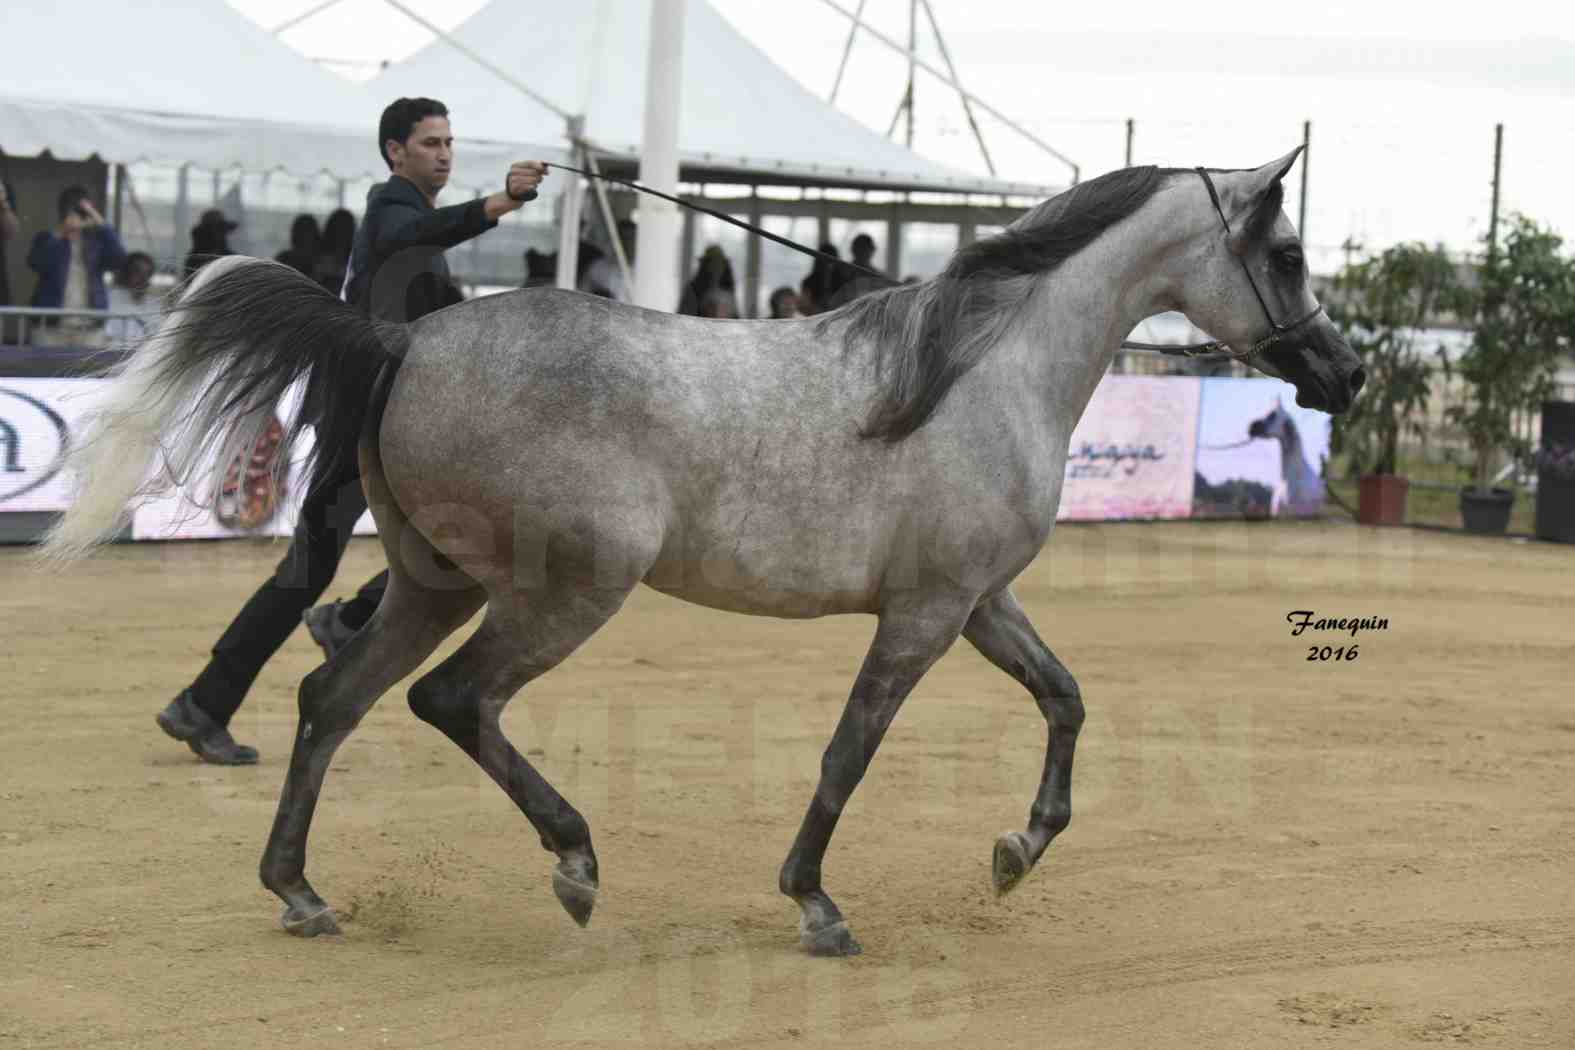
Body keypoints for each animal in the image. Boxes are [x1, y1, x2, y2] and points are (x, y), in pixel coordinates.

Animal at [43, 149, 1360, 963]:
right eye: (1290, 255)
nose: (1347, 374)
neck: (975, 374)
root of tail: (401, 338)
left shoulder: (980, 601)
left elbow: (1067, 700)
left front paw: (1015, 854)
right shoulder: (925, 615)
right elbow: (848, 752)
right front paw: (817, 905)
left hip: (433, 583)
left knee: (333, 696)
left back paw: (301, 890)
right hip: (567, 592)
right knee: (448, 701)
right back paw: (573, 865)